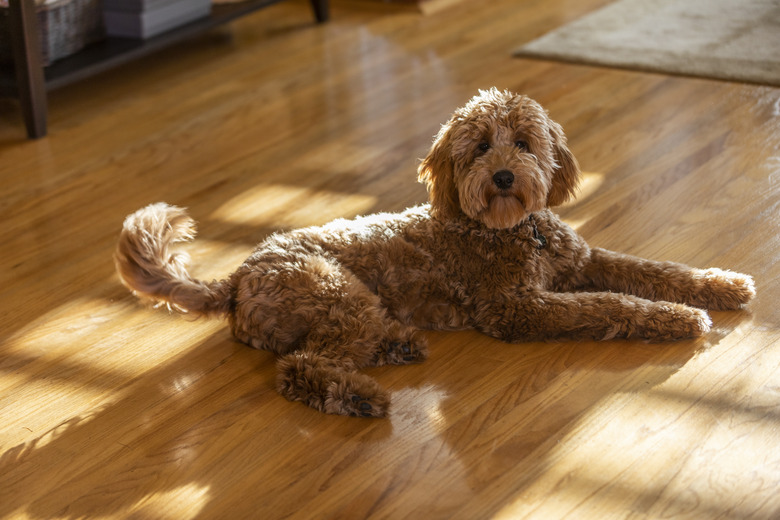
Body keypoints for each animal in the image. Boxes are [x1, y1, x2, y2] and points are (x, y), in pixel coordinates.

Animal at [116, 87, 756, 416]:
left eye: (525, 143)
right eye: (479, 148)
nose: (502, 176)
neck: (515, 230)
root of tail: (238, 276)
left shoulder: (582, 260)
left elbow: (655, 269)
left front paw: (721, 285)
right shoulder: (516, 307)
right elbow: (611, 306)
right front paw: (679, 319)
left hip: (349, 309)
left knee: (325, 352)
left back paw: (396, 345)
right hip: (337, 295)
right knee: (300, 368)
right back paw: (362, 396)